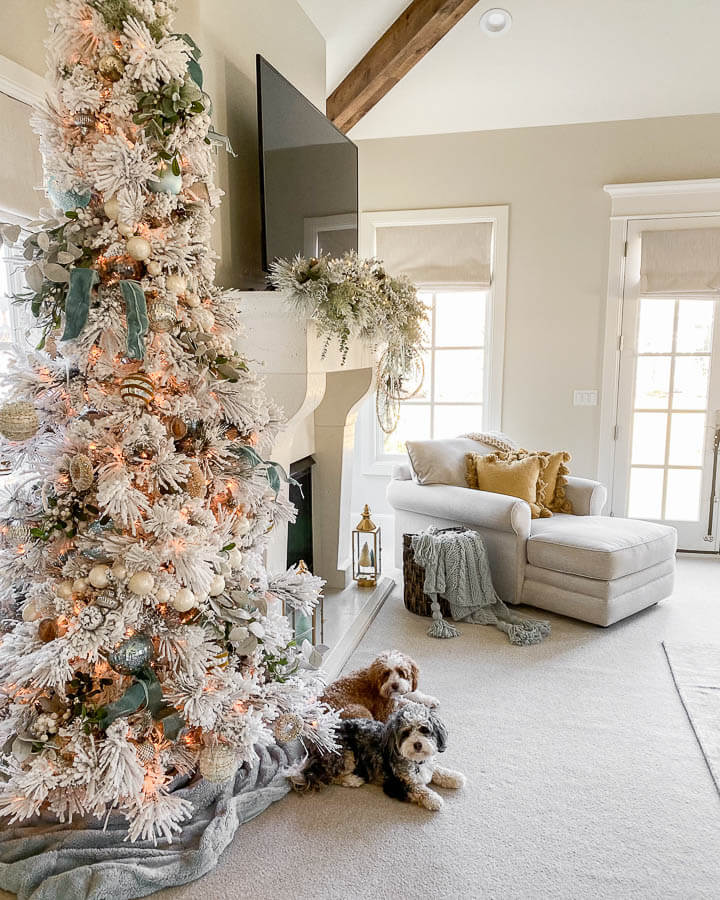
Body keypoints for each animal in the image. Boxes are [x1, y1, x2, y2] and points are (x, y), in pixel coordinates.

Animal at [296, 704, 464, 808]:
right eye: (406, 732)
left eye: (424, 729)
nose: (417, 744)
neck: (415, 762)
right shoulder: (396, 785)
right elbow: (418, 789)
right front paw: (434, 799)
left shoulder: (427, 764)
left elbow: (438, 770)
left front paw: (454, 777)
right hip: (346, 754)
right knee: (331, 776)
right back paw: (353, 779)